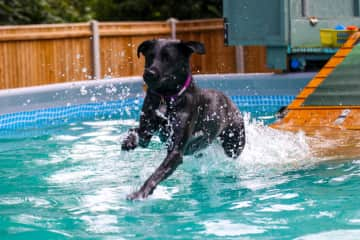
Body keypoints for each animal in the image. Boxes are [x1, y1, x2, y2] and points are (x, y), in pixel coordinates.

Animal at [122, 39, 246, 200]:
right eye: (150, 56)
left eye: (167, 58)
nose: (149, 73)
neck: (167, 98)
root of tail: (230, 102)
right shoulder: (146, 131)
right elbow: (137, 132)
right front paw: (129, 141)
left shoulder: (176, 150)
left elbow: (157, 173)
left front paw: (141, 192)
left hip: (234, 144)